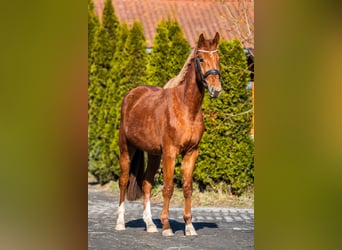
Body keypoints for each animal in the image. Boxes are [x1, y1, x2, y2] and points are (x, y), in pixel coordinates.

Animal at [115, 32, 222, 235]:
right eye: (201, 59)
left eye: (218, 59)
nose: (216, 89)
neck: (187, 109)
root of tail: (132, 96)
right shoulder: (170, 153)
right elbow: (169, 187)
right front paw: (166, 226)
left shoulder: (191, 152)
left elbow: (187, 188)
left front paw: (189, 226)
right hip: (126, 149)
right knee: (123, 181)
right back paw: (120, 222)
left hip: (154, 154)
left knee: (146, 184)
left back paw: (150, 224)